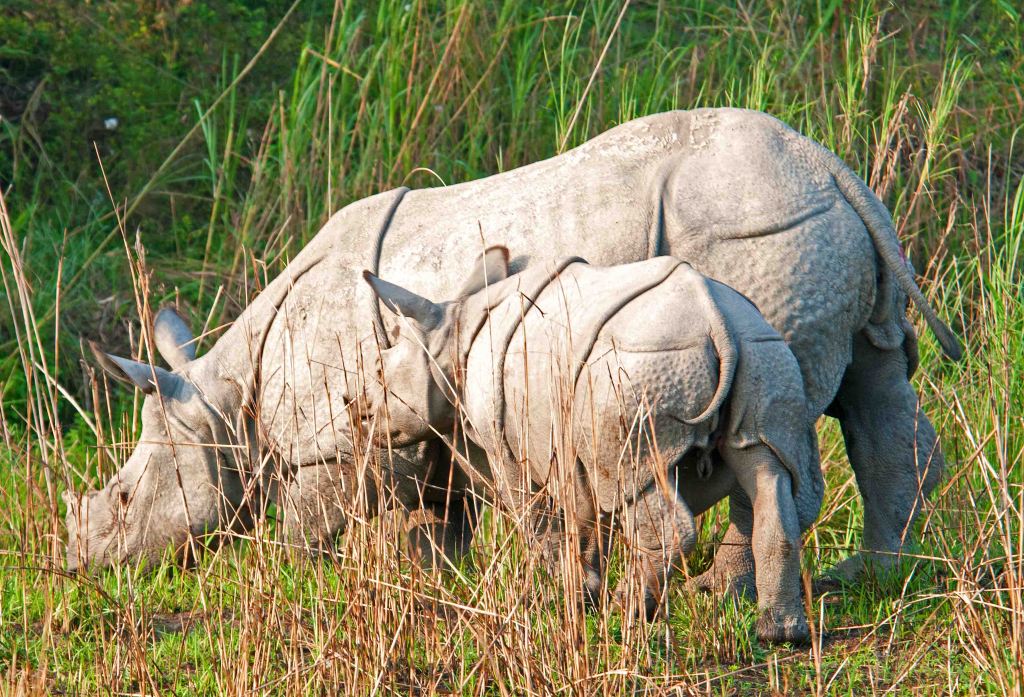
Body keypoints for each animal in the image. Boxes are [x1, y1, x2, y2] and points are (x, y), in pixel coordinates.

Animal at [65, 108, 959, 593]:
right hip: (808, 232)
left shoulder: (331, 442)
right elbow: (436, 522)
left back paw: (725, 588)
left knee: (766, 435)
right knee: (873, 384)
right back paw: (872, 574)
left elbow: (305, 529)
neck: (224, 402)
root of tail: (834, 169)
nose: (74, 562)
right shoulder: (420, 423)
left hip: (757, 234)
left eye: (123, 499)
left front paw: (290, 585)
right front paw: (435, 591)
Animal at [359, 247, 824, 643]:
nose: (357, 412)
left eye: (380, 375)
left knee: (645, 489)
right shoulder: (572, 442)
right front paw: (583, 593)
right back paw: (781, 634)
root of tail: (717, 321)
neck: (449, 333)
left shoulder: (505, 443)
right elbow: (584, 517)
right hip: (762, 351)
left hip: (643, 369)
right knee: (767, 468)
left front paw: (562, 596)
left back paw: (630, 611)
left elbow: (536, 517)